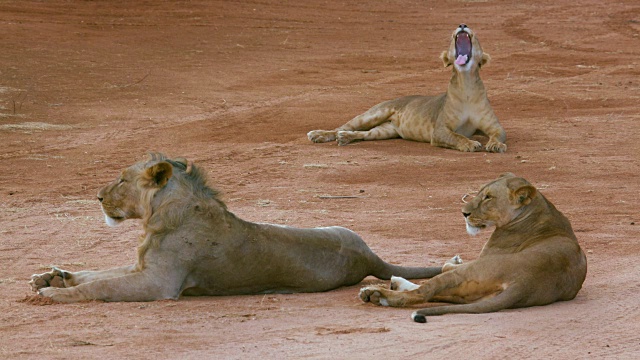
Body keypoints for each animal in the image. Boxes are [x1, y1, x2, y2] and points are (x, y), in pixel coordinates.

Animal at [28, 153, 440, 302]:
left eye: (121, 180)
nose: (98, 196)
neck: (157, 217)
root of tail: (370, 256)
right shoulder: (142, 266)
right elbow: (97, 273)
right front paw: (50, 277)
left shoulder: (159, 283)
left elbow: (100, 287)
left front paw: (50, 294)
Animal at [308, 22, 508, 152]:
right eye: (453, 38)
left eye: (477, 36)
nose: (462, 25)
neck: (466, 84)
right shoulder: (440, 130)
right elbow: (457, 136)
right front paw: (470, 144)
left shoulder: (495, 126)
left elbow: (498, 134)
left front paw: (496, 145)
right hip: (374, 113)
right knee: (342, 126)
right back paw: (318, 134)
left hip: (385, 131)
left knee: (365, 134)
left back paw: (345, 138)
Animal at [358, 174, 588, 324]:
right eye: (479, 192)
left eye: (488, 197)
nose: (464, 213)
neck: (538, 209)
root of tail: (526, 282)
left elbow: (445, 267)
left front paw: (453, 260)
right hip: (471, 294)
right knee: (436, 295)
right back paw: (389, 286)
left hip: (471, 273)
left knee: (424, 293)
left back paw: (378, 294)